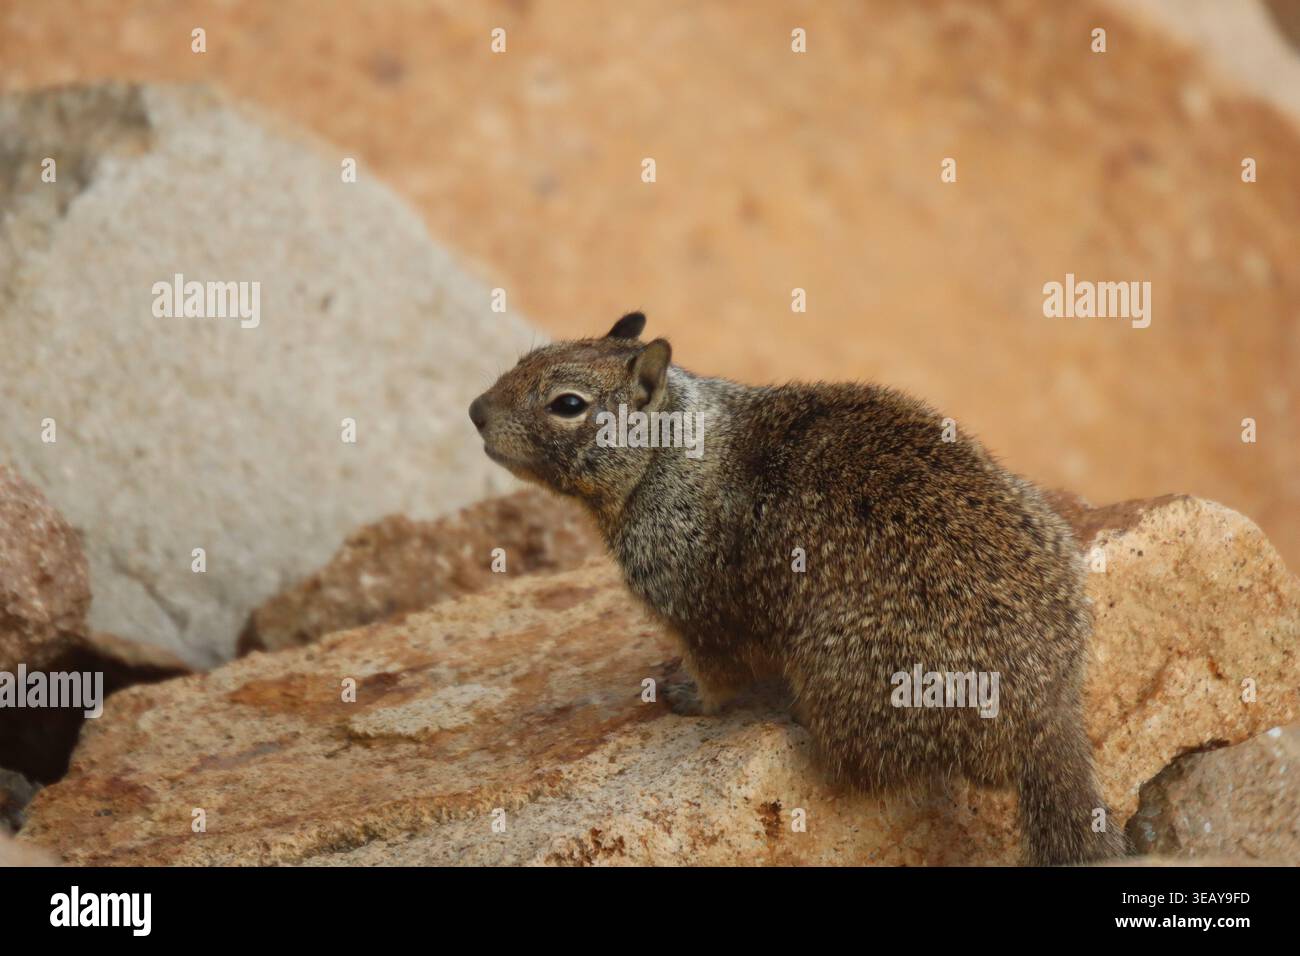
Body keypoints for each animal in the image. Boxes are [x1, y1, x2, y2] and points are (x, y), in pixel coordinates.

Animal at [470, 312, 1127, 866]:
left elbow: (716, 673)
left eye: (568, 404)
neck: (668, 455)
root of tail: (1046, 716)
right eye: (530, 356)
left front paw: (687, 696)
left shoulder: (698, 607)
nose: (475, 409)